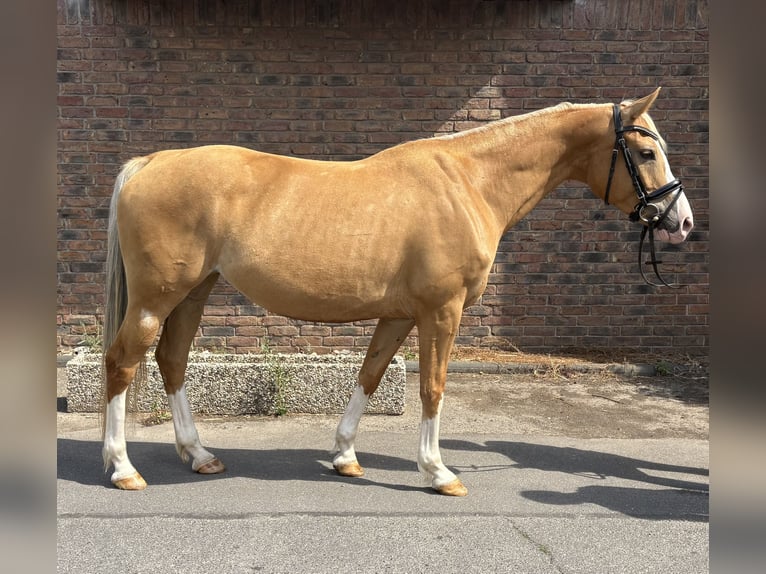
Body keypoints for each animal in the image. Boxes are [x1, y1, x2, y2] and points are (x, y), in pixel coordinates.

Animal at [100, 88, 694, 496]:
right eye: (645, 154)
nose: (681, 221)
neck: (468, 183)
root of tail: (148, 163)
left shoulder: (400, 315)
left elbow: (371, 374)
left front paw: (345, 457)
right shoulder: (442, 311)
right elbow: (432, 387)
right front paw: (438, 472)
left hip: (194, 291)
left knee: (172, 360)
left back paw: (199, 454)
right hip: (156, 296)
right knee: (123, 362)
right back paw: (124, 468)